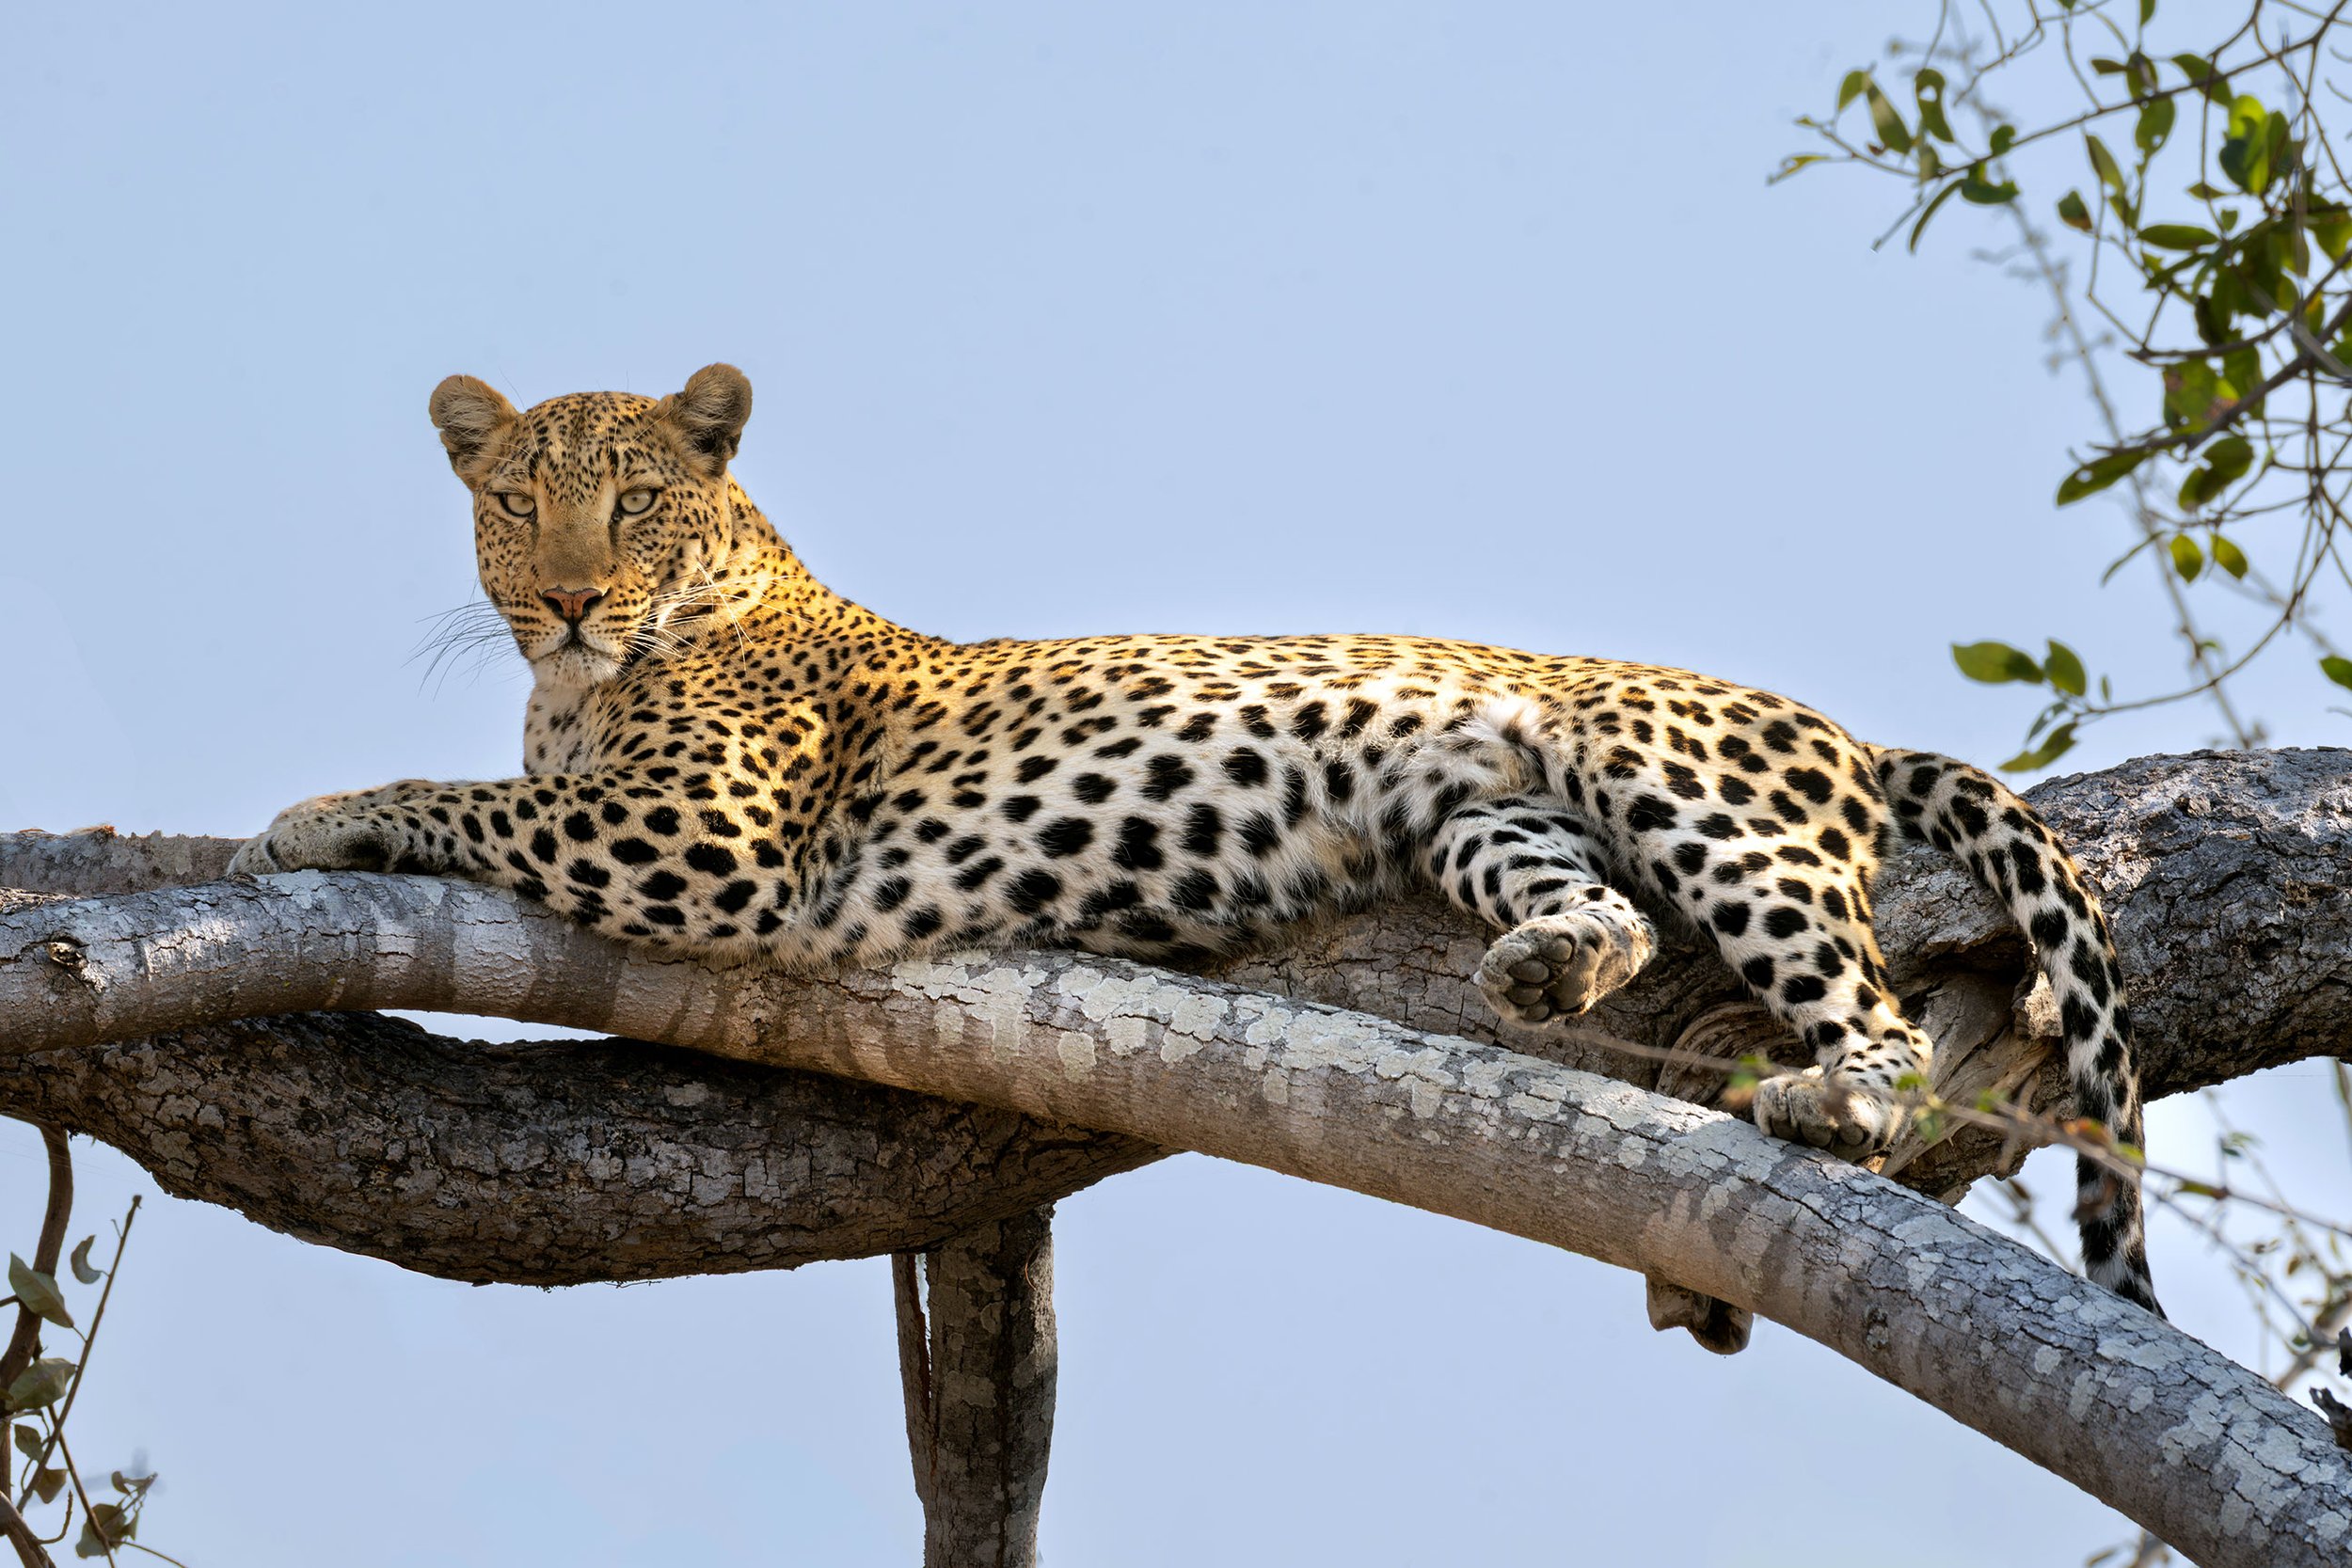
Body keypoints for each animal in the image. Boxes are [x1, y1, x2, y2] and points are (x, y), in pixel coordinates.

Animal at [229, 363, 2159, 1315]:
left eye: (632, 502)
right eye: (511, 500)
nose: (566, 596)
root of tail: (1845, 728)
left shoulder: (704, 831)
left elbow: (482, 800)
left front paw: (314, 813)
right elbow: (498, 789)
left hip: (1695, 797)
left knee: (1886, 1020)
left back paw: (1829, 1099)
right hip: (1487, 808)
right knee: (1594, 906)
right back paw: (1547, 964)